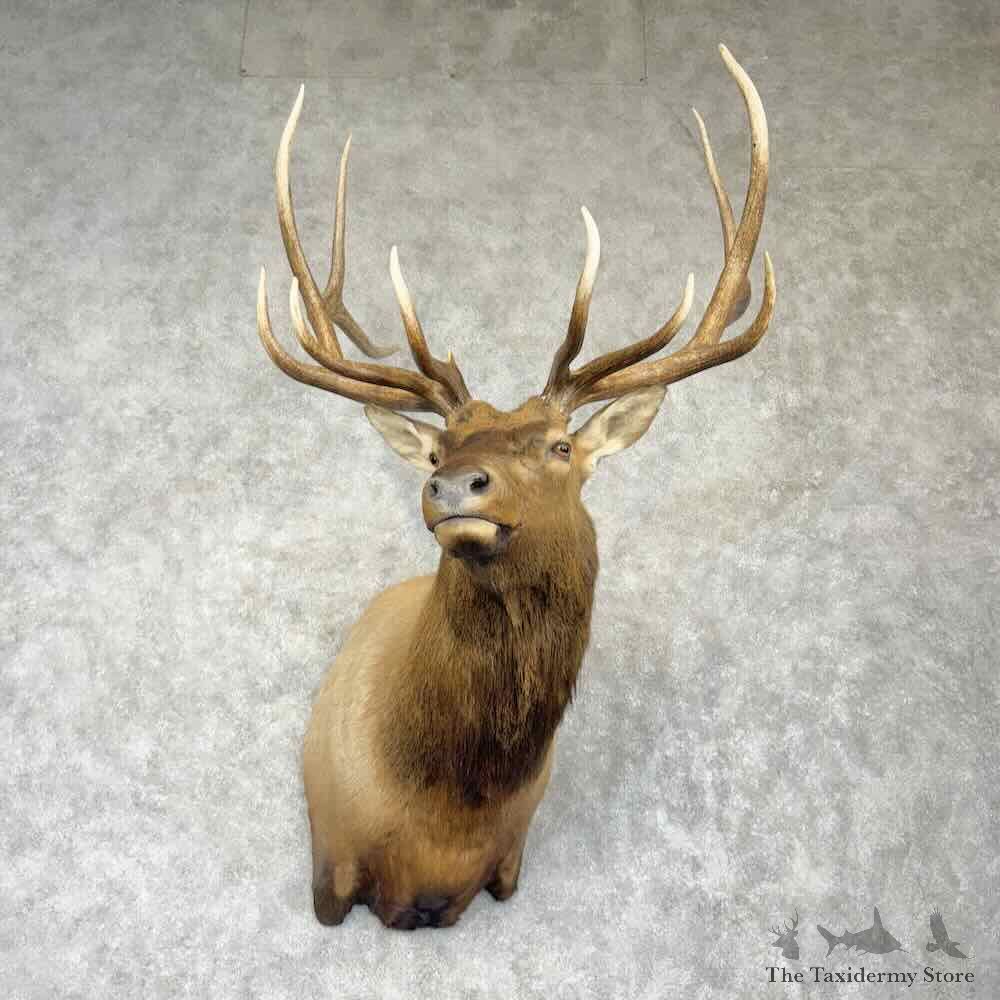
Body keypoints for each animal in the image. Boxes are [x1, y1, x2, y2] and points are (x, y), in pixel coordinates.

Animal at [255, 44, 774, 930]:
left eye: (562, 447)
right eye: (436, 453)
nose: (453, 486)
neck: (441, 818)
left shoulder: (506, 863)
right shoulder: (331, 862)